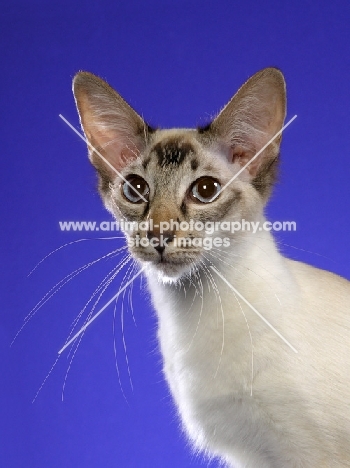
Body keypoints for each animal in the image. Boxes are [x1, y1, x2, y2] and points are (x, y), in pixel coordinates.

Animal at [72, 67, 350, 466]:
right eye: (135, 189)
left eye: (205, 190)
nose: (159, 234)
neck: (195, 315)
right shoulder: (251, 457)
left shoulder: (311, 456)